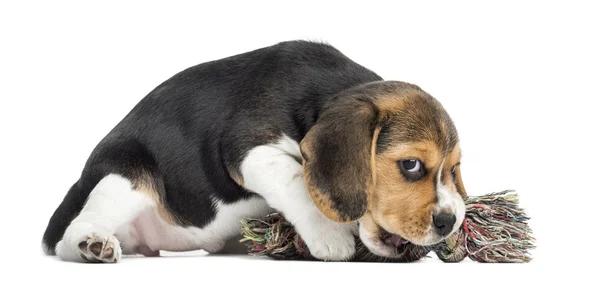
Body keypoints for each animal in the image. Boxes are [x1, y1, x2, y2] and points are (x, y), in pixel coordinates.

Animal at [42, 40, 466, 262]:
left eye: (454, 169)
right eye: (410, 165)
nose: (450, 222)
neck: (325, 94)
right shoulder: (247, 149)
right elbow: (296, 180)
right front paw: (330, 235)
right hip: (125, 176)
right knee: (72, 232)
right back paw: (90, 245)